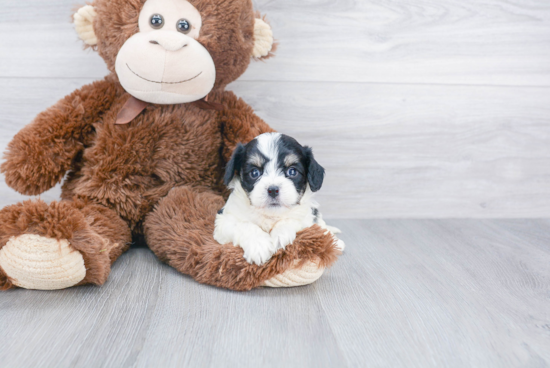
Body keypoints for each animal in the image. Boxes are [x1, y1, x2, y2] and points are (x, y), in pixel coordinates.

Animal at [212, 132, 344, 264]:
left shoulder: (308, 218)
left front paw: (280, 236)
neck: (271, 216)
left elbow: (292, 219)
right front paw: (259, 245)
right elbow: (244, 225)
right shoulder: (224, 220)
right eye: (254, 173)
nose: (273, 190)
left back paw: (336, 242)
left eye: (292, 171)